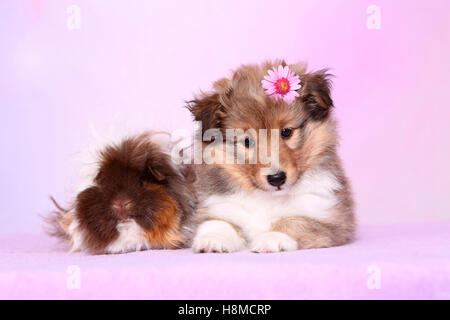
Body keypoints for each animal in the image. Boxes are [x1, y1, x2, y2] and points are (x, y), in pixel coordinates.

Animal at [186, 60, 356, 254]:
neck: (267, 198)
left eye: (286, 132)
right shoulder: (215, 206)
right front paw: (212, 239)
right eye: (247, 141)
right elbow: (217, 222)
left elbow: (296, 221)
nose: (276, 179)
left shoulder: (332, 218)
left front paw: (273, 237)